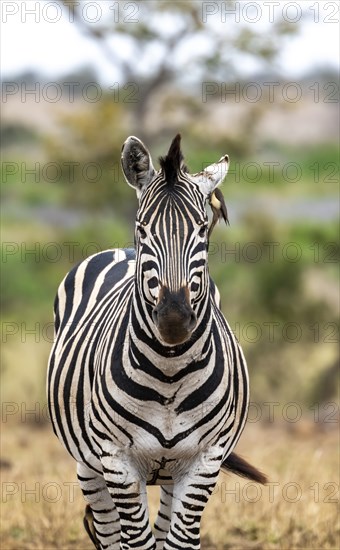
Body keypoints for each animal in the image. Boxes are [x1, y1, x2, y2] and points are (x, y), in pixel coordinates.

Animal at [47, 135, 266, 550]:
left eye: (202, 230)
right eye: (143, 228)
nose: (174, 319)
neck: (169, 372)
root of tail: (122, 250)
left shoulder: (205, 461)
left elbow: (179, 542)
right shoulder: (116, 461)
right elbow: (135, 542)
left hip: (170, 475)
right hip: (88, 466)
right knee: (109, 533)